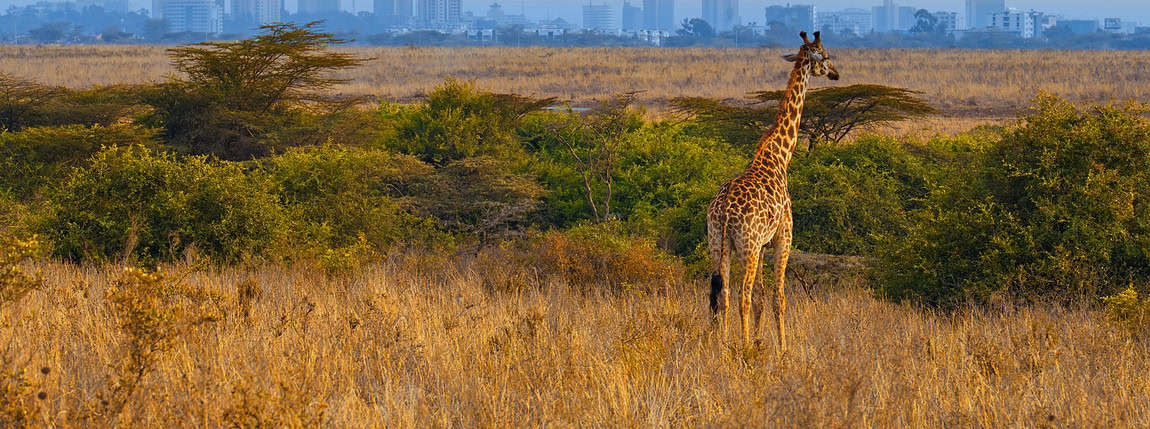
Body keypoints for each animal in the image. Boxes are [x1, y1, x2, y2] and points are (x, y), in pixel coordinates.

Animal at [706, 31, 839, 351]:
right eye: (825, 56)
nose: (836, 73)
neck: (780, 156)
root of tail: (723, 210)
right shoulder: (783, 237)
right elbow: (778, 299)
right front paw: (782, 349)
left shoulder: (765, 244)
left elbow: (762, 300)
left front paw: (759, 341)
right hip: (748, 245)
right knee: (741, 295)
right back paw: (741, 348)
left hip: (718, 244)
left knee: (723, 296)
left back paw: (723, 346)